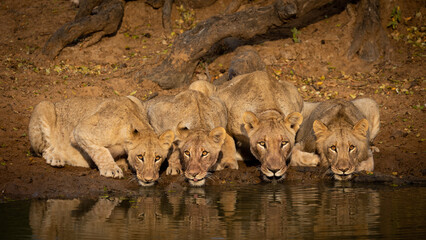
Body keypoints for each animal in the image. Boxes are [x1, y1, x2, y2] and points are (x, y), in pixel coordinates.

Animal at [28, 95, 173, 186]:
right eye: (140, 157)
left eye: (157, 158)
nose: (149, 179)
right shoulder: (80, 130)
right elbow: (101, 151)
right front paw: (112, 170)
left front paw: (121, 163)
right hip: (43, 105)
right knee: (45, 149)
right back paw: (55, 158)